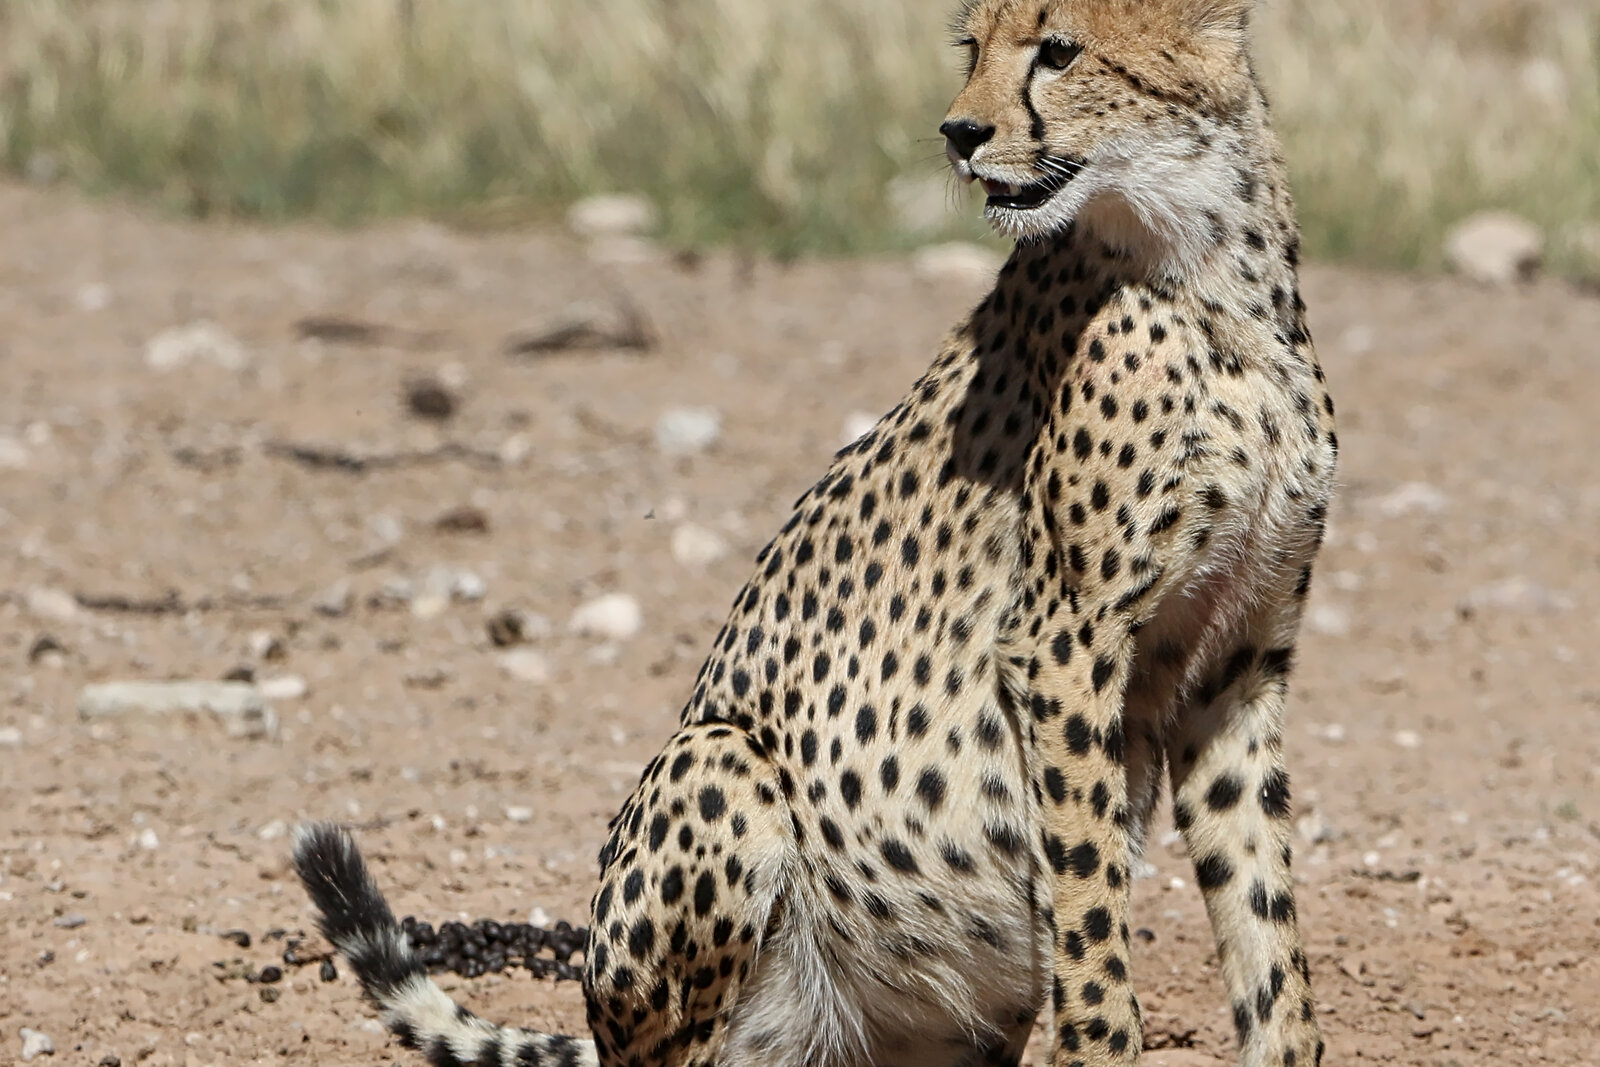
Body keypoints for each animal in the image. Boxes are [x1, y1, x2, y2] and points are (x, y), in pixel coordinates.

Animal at [292, 0, 1338, 1065]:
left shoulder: (1232, 662)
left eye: (1059, 51)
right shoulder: (1061, 640)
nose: (960, 133)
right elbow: (1092, 912)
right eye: (973, 46)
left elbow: (1263, 915)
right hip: (723, 764)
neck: (1207, 265)